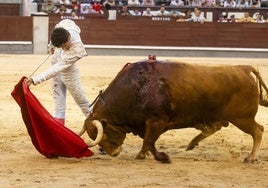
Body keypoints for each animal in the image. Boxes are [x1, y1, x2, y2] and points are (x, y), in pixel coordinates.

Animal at [78, 58, 266, 163]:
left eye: (104, 133)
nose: (114, 153)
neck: (136, 88)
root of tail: (243, 68)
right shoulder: (150, 124)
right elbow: (147, 142)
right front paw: (143, 155)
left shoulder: (156, 121)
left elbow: (149, 141)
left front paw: (162, 158)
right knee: (215, 127)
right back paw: (191, 144)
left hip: (242, 118)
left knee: (258, 131)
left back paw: (251, 158)